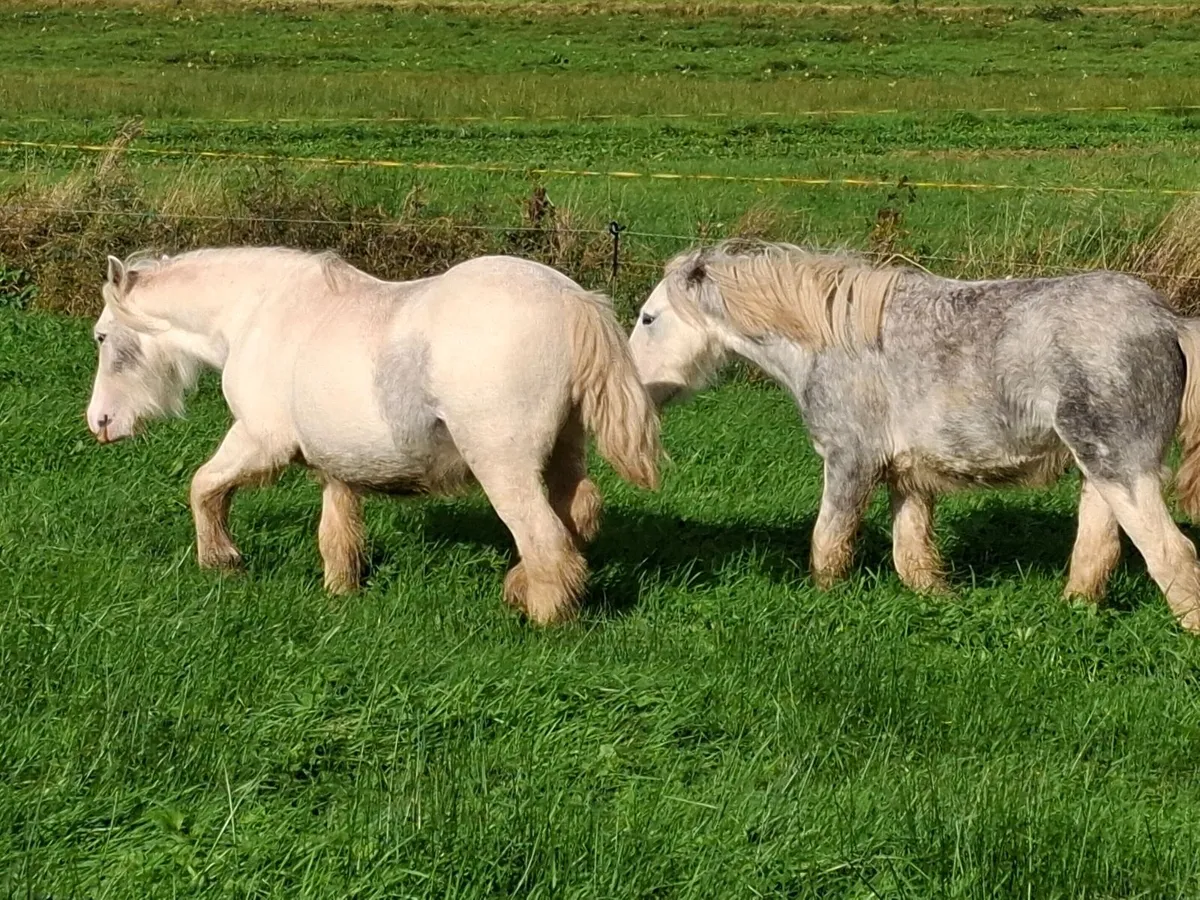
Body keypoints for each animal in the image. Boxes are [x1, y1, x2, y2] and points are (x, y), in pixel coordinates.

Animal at [85, 247, 661, 624]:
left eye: (102, 336)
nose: (99, 423)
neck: (257, 312)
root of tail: (571, 300)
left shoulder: (258, 440)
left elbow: (203, 487)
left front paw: (220, 561)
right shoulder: (335, 466)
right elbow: (337, 532)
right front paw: (342, 593)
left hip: (504, 468)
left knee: (544, 539)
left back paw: (542, 616)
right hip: (565, 453)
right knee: (575, 515)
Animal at [628, 240, 1200, 633]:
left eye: (648, 317)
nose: (637, 388)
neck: (831, 339)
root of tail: (1167, 321)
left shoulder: (850, 461)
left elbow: (828, 546)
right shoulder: (907, 478)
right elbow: (912, 559)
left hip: (1123, 470)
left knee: (1173, 555)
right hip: (1098, 472)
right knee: (1096, 554)